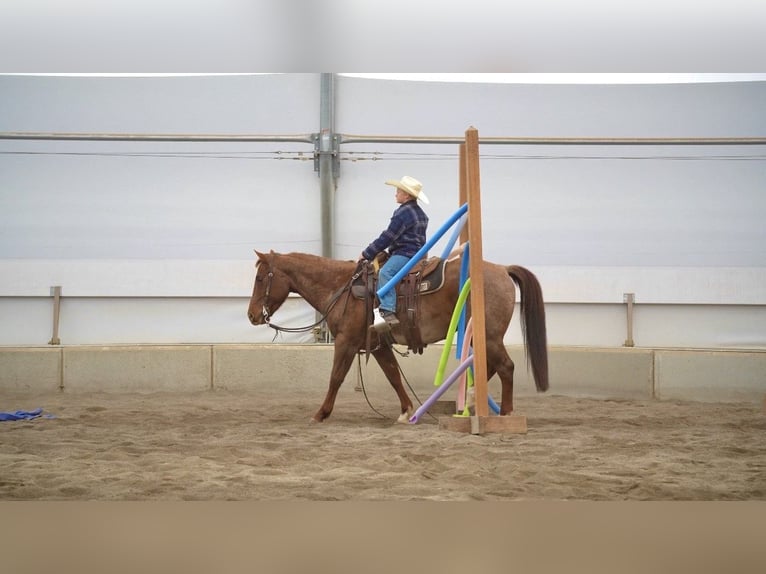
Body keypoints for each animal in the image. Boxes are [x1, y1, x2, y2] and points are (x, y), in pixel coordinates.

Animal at [247, 250, 549, 423]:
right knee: (487, 367)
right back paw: (469, 400)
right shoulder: (378, 345)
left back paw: (505, 412)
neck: (341, 287)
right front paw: (406, 411)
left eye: (260, 278)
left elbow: (336, 377)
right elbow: (393, 375)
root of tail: (502, 269)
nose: (252, 315)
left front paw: (321, 414)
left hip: (490, 336)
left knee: (505, 367)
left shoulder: (346, 342)